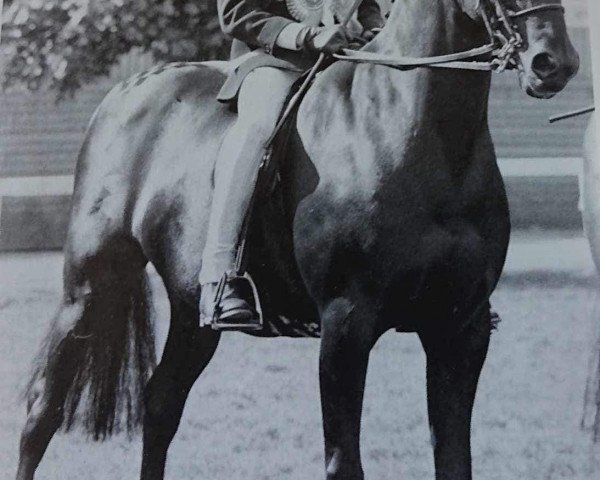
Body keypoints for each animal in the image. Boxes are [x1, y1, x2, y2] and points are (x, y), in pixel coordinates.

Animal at [15, 0, 576, 480]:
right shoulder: (346, 326)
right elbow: (343, 462)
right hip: (90, 286)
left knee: (161, 405)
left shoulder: (461, 329)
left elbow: (455, 459)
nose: (555, 63)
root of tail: (127, 91)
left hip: (192, 310)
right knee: (42, 411)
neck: (416, 134)